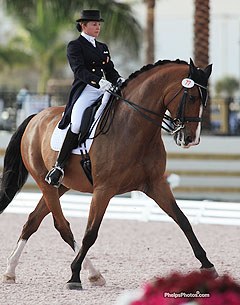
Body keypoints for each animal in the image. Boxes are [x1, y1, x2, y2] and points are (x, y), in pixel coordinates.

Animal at [0, 58, 218, 288]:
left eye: (205, 101)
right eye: (192, 96)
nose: (191, 139)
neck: (134, 127)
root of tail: (36, 117)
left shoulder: (156, 184)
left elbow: (183, 221)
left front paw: (208, 265)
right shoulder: (104, 190)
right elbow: (90, 233)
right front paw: (74, 275)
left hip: (60, 186)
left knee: (32, 221)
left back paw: (11, 271)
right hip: (46, 183)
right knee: (62, 226)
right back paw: (91, 273)